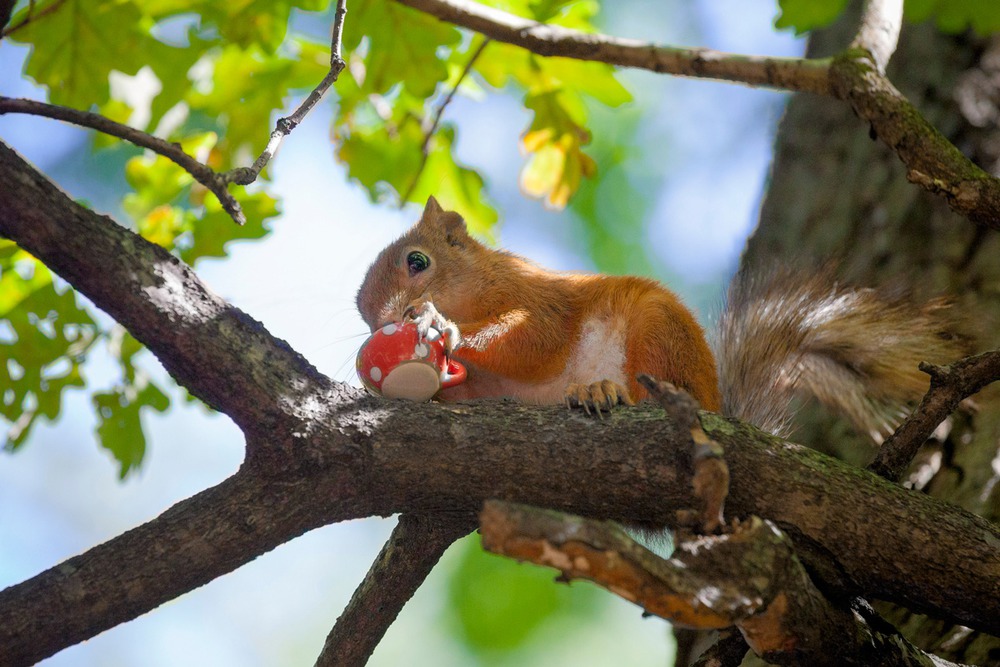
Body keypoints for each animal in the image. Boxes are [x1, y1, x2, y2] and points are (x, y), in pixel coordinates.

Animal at [358, 197, 960, 438]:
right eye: (361, 317)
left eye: (417, 262)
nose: (385, 320)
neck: (480, 284)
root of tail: (718, 404)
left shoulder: (537, 295)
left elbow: (539, 337)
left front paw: (444, 327)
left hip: (658, 334)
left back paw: (605, 392)